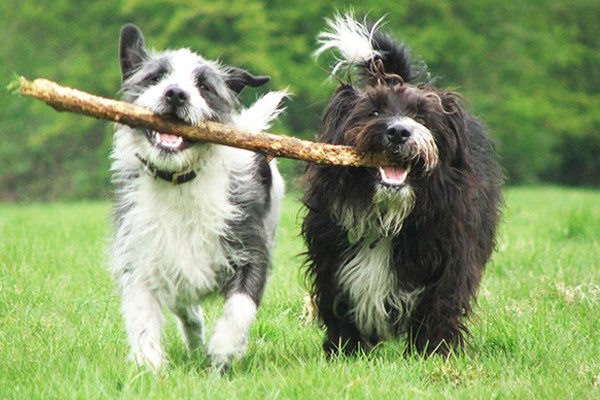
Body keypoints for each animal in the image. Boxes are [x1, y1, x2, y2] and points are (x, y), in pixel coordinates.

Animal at [109, 24, 288, 368]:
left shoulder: (251, 249)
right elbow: (142, 315)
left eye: (203, 86)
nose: (176, 93)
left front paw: (224, 348)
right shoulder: (141, 256)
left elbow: (241, 306)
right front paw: (149, 365)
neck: (180, 181)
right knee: (186, 309)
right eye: (155, 77)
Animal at [302, 14, 504, 356]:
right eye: (373, 111)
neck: (386, 216)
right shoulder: (331, 255)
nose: (398, 131)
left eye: (422, 117)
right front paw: (345, 350)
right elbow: (339, 303)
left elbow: (439, 303)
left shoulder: (449, 254)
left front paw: (433, 351)